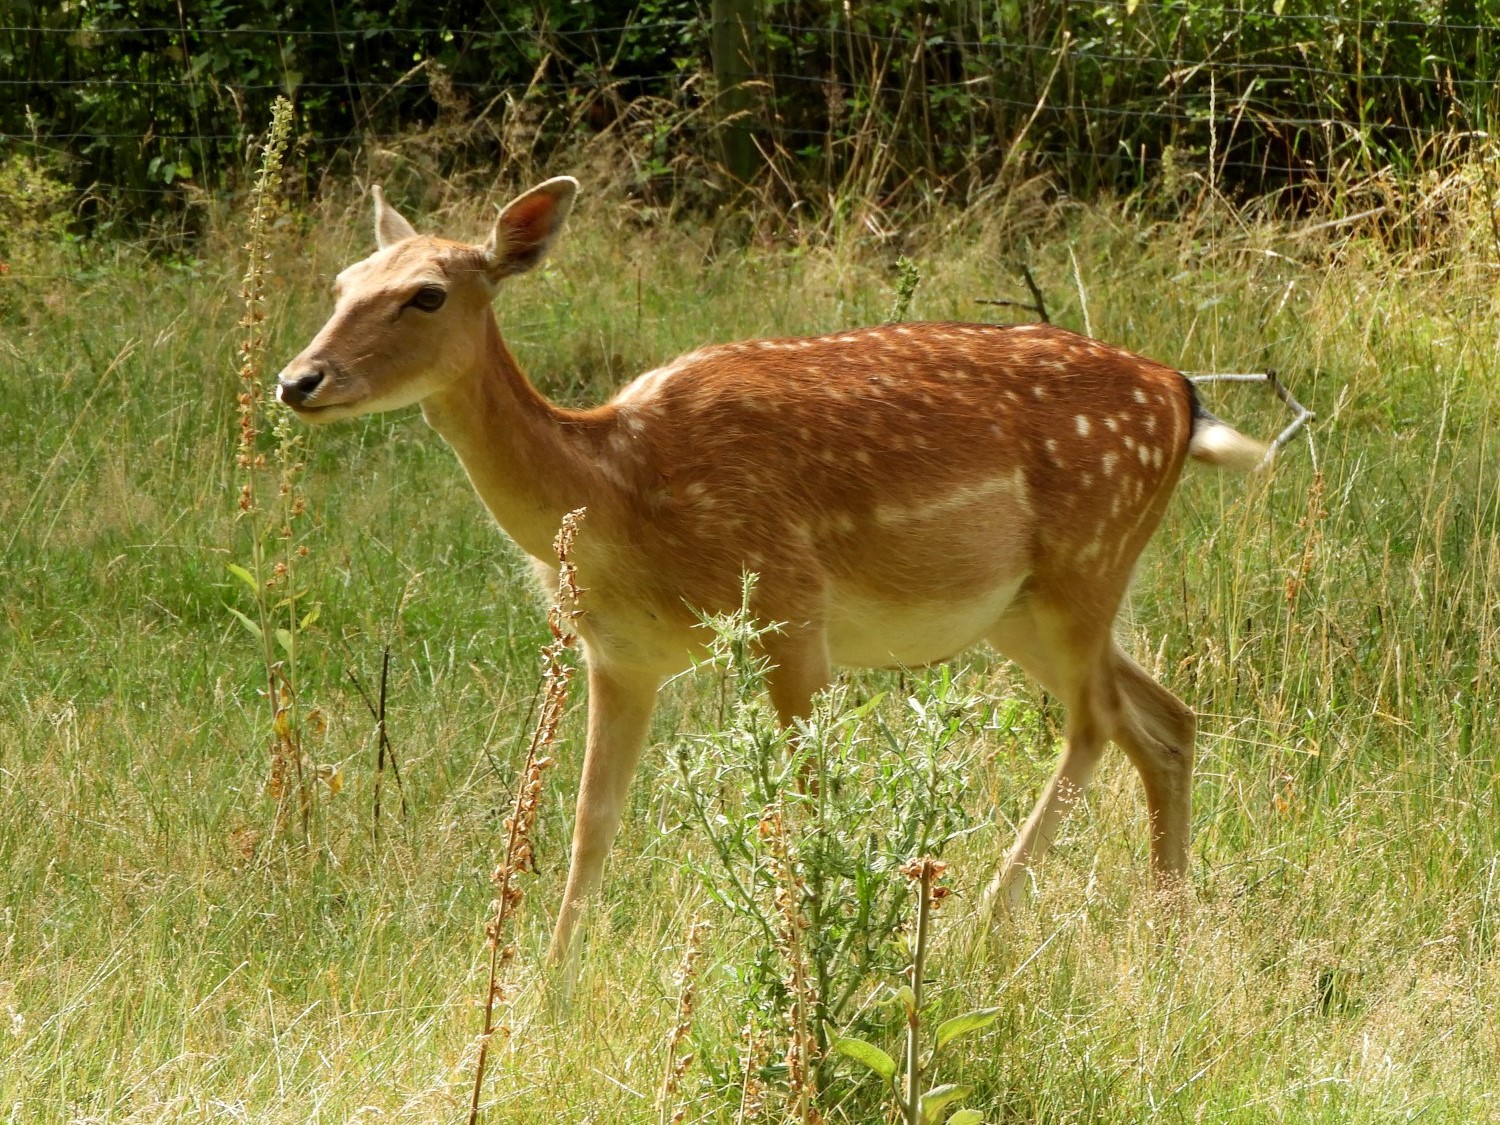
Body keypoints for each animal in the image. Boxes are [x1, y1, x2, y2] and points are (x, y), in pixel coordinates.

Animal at [279, 178, 1266, 972]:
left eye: (427, 294)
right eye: (340, 284)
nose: (298, 379)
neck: (624, 486)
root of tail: (1183, 396)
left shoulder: (790, 605)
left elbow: (806, 797)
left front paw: (807, 960)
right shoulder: (618, 653)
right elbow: (592, 819)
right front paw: (543, 989)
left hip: (1086, 555)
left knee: (1096, 719)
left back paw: (990, 915)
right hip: (1017, 607)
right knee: (1165, 719)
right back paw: (1169, 924)